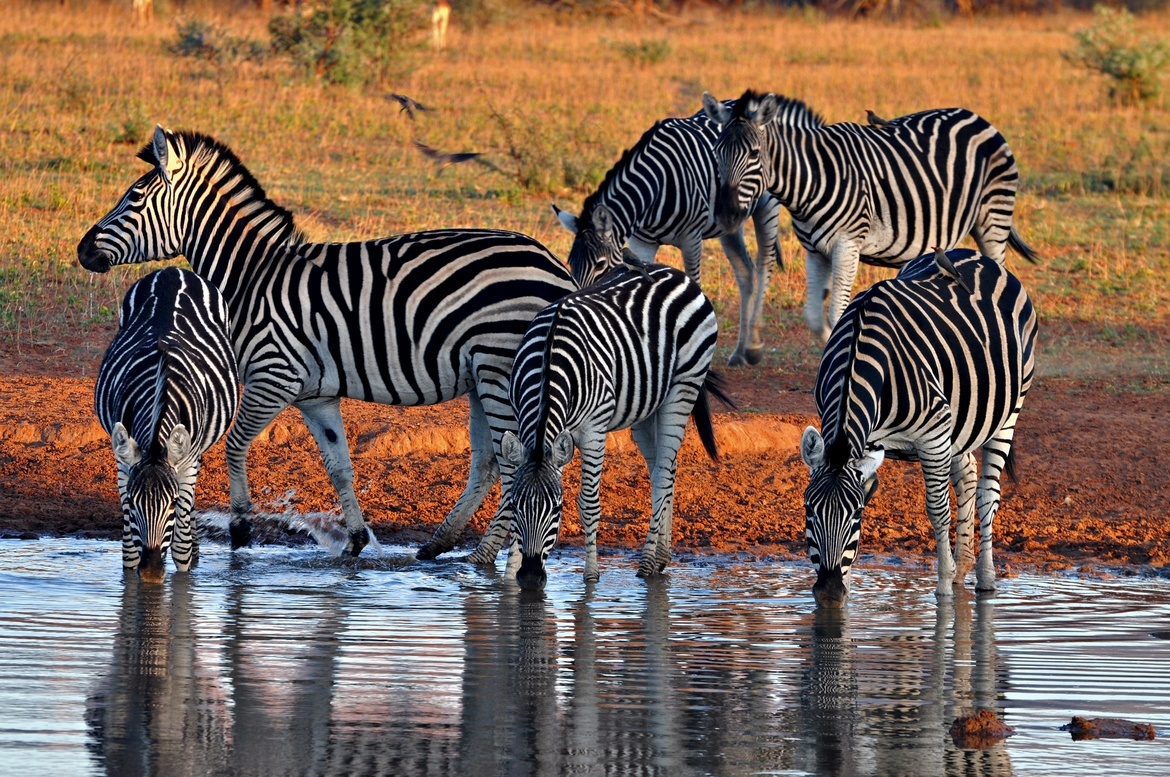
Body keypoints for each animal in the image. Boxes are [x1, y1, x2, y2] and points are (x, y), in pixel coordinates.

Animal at [94, 267, 239, 581]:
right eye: (132, 502)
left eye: (170, 503)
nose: (151, 573)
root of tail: (173, 270)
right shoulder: (123, 462)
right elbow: (129, 552)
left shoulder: (186, 464)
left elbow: (180, 547)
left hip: (193, 455)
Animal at [498, 262, 730, 590]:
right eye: (518, 506)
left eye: (557, 508)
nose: (530, 577)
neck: (548, 361)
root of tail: (674, 271)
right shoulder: (525, 421)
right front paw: (508, 580)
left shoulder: (593, 431)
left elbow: (588, 504)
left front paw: (591, 577)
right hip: (647, 407)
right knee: (664, 469)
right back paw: (662, 556)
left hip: (684, 387)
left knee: (663, 473)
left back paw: (647, 563)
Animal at [551, 98, 823, 366]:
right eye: (570, 262)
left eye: (599, 264)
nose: (577, 301)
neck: (654, 187)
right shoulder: (642, 242)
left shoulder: (691, 239)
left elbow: (694, 284)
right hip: (729, 221)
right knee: (745, 271)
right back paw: (738, 352)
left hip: (767, 205)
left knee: (764, 264)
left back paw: (753, 347)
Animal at [702, 90, 1038, 342]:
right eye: (716, 151)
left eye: (754, 154)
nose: (727, 215)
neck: (815, 175)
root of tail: (978, 118)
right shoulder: (815, 251)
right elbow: (814, 316)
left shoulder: (847, 244)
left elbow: (837, 312)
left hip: (994, 217)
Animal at [798, 248, 1036, 607]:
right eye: (809, 510)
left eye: (856, 515)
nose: (828, 592)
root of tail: (972, 253)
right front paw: (844, 600)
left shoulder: (933, 434)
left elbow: (937, 509)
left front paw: (944, 588)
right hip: (959, 423)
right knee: (967, 474)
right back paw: (963, 566)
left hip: (1008, 411)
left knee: (987, 494)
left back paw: (984, 577)